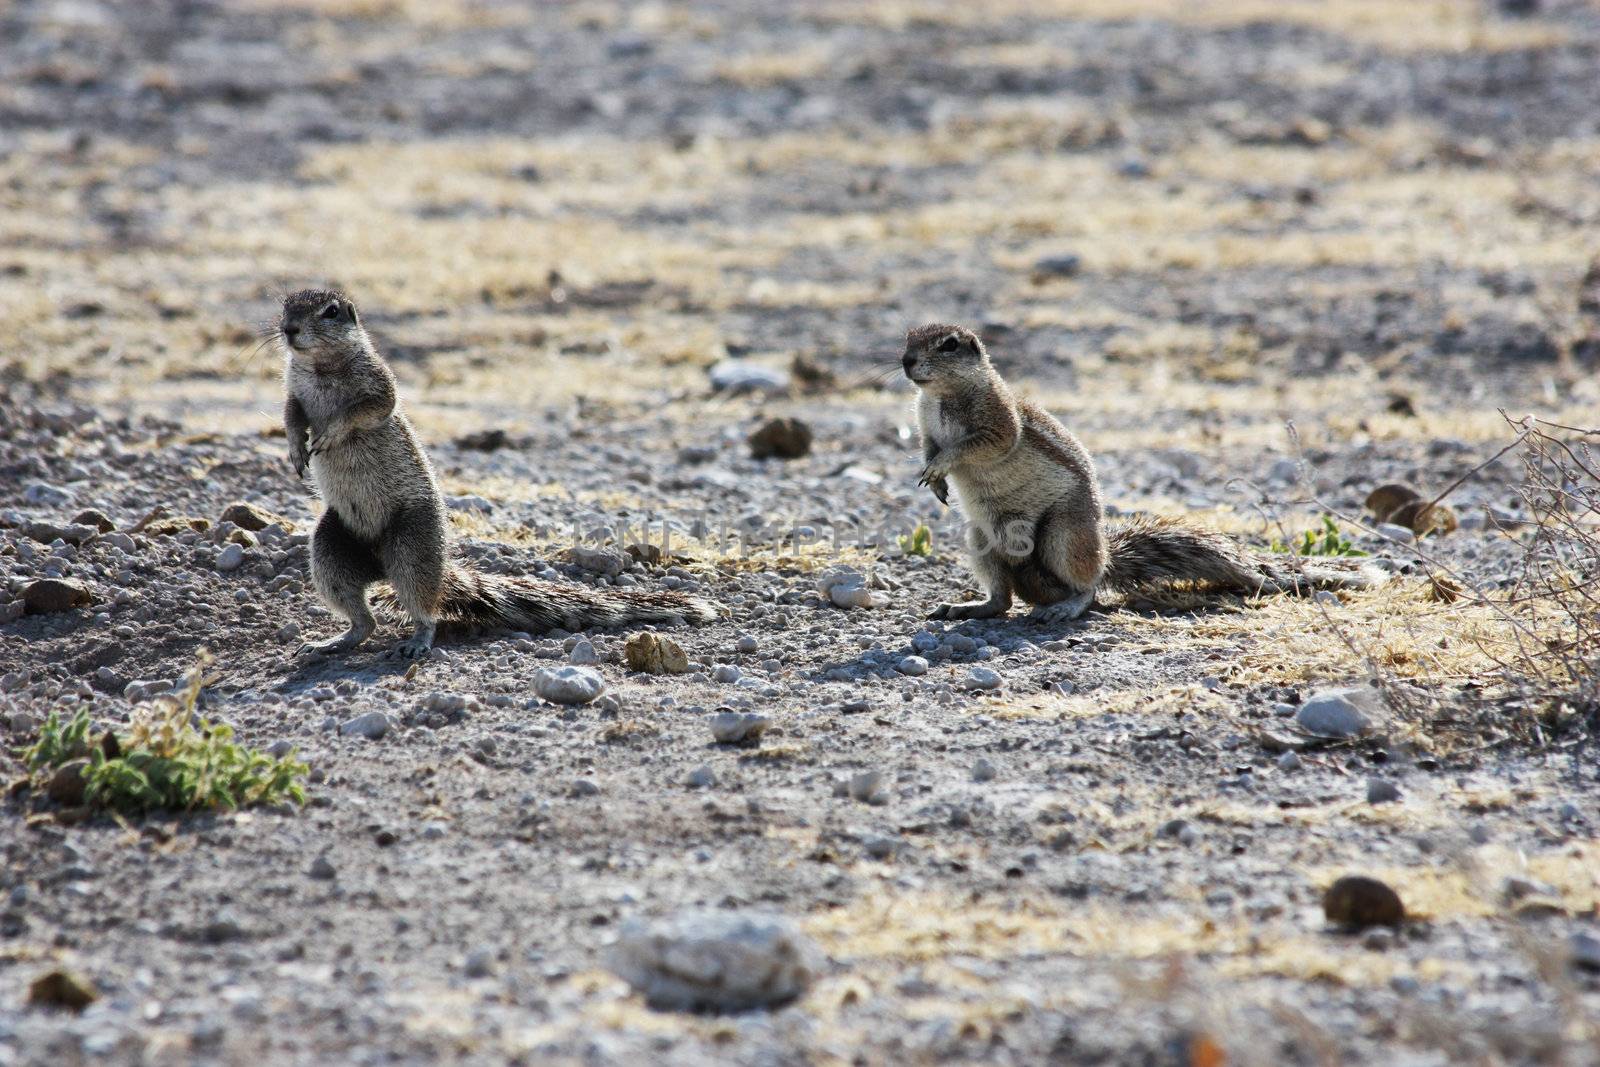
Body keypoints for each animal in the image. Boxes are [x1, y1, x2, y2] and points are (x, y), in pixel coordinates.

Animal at [278, 292, 716, 659]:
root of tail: (380, 565)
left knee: (424, 606)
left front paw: (329, 434)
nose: (289, 329)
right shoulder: (294, 391)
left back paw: (417, 641)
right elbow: (292, 414)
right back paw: (331, 642)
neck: (322, 365)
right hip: (331, 549)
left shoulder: (378, 382)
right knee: (363, 617)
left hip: (412, 542)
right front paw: (297, 449)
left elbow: (371, 407)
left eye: (330, 311)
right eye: (285, 306)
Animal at [902, 326, 1388, 627]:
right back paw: (970, 607)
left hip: (1066, 535)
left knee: (1090, 585)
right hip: (979, 539)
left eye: (949, 344)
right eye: (907, 338)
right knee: (1003, 599)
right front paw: (934, 477)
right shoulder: (925, 424)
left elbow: (984, 444)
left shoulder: (998, 419)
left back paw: (1065, 607)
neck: (942, 395)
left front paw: (942, 467)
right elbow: (929, 446)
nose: (906, 362)